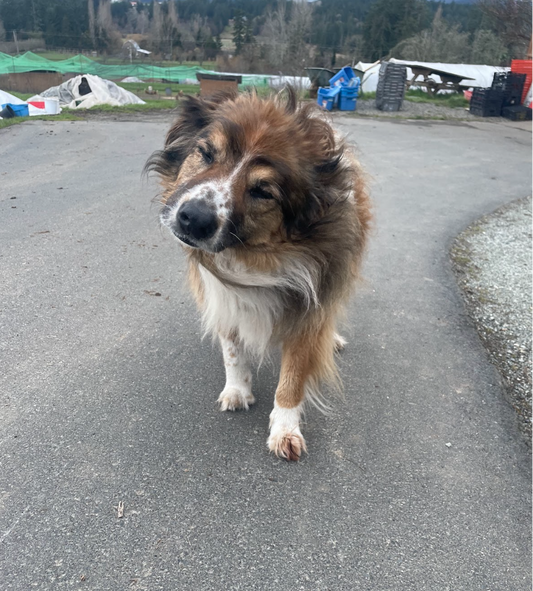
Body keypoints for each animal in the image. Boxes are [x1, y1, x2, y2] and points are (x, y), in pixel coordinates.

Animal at [145, 88, 370, 462]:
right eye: (206, 153)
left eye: (263, 191)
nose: (193, 218)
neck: (256, 257)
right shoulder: (223, 296)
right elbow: (232, 349)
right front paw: (237, 388)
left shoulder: (311, 307)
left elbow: (293, 375)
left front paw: (285, 428)